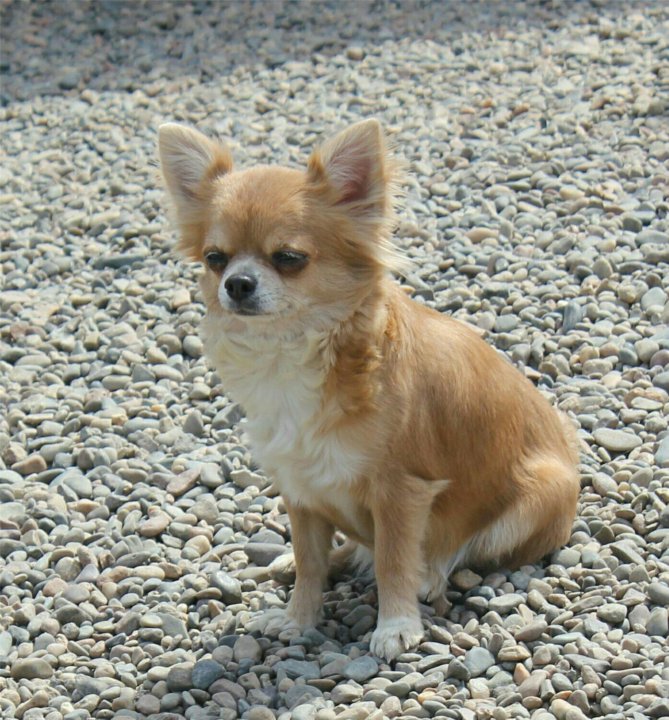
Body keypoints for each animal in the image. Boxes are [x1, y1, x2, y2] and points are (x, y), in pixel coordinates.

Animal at [158, 119, 580, 660]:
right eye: (215, 259)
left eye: (288, 258)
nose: (237, 283)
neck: (291, 354)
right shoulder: (299, 485)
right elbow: (310, 562)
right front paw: (298, 618)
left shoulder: (401, 490)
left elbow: (393, 560)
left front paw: (396, 625)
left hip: (538, 494)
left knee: (455, 553)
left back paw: (430, 576)